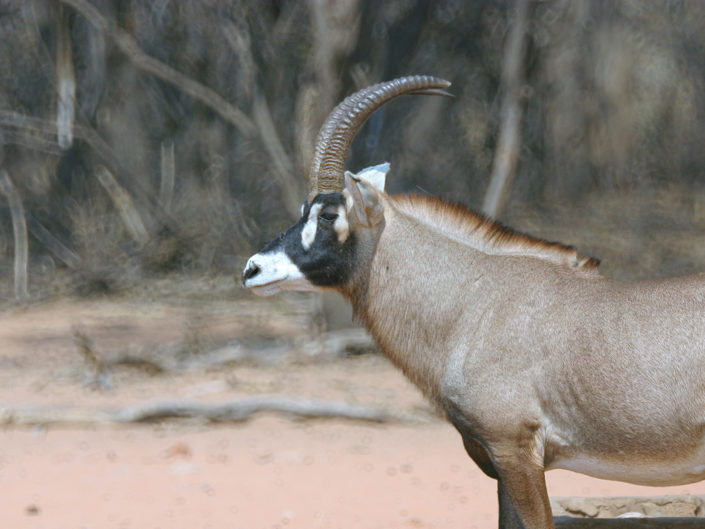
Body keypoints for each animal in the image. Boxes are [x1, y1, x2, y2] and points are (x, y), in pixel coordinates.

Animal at [241, 75, 705, 529]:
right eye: (305, 209)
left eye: (328, 215)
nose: (252, 269)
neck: (473, 302)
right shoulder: (501, 463)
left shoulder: (515, 449)